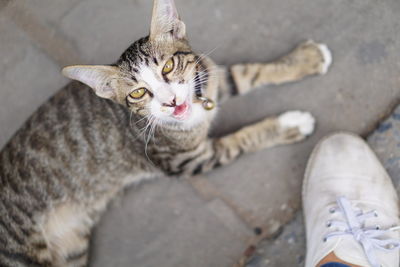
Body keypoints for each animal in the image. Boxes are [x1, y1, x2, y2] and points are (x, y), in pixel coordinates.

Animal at [0, 0, 332, 266]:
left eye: (169, 66)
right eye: (137, 93)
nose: (171, 101)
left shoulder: (206, 78)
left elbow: (246, 73)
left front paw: (303, 60)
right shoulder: (187, 160)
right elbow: (241, 139)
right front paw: (289, 124)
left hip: (72, 250)